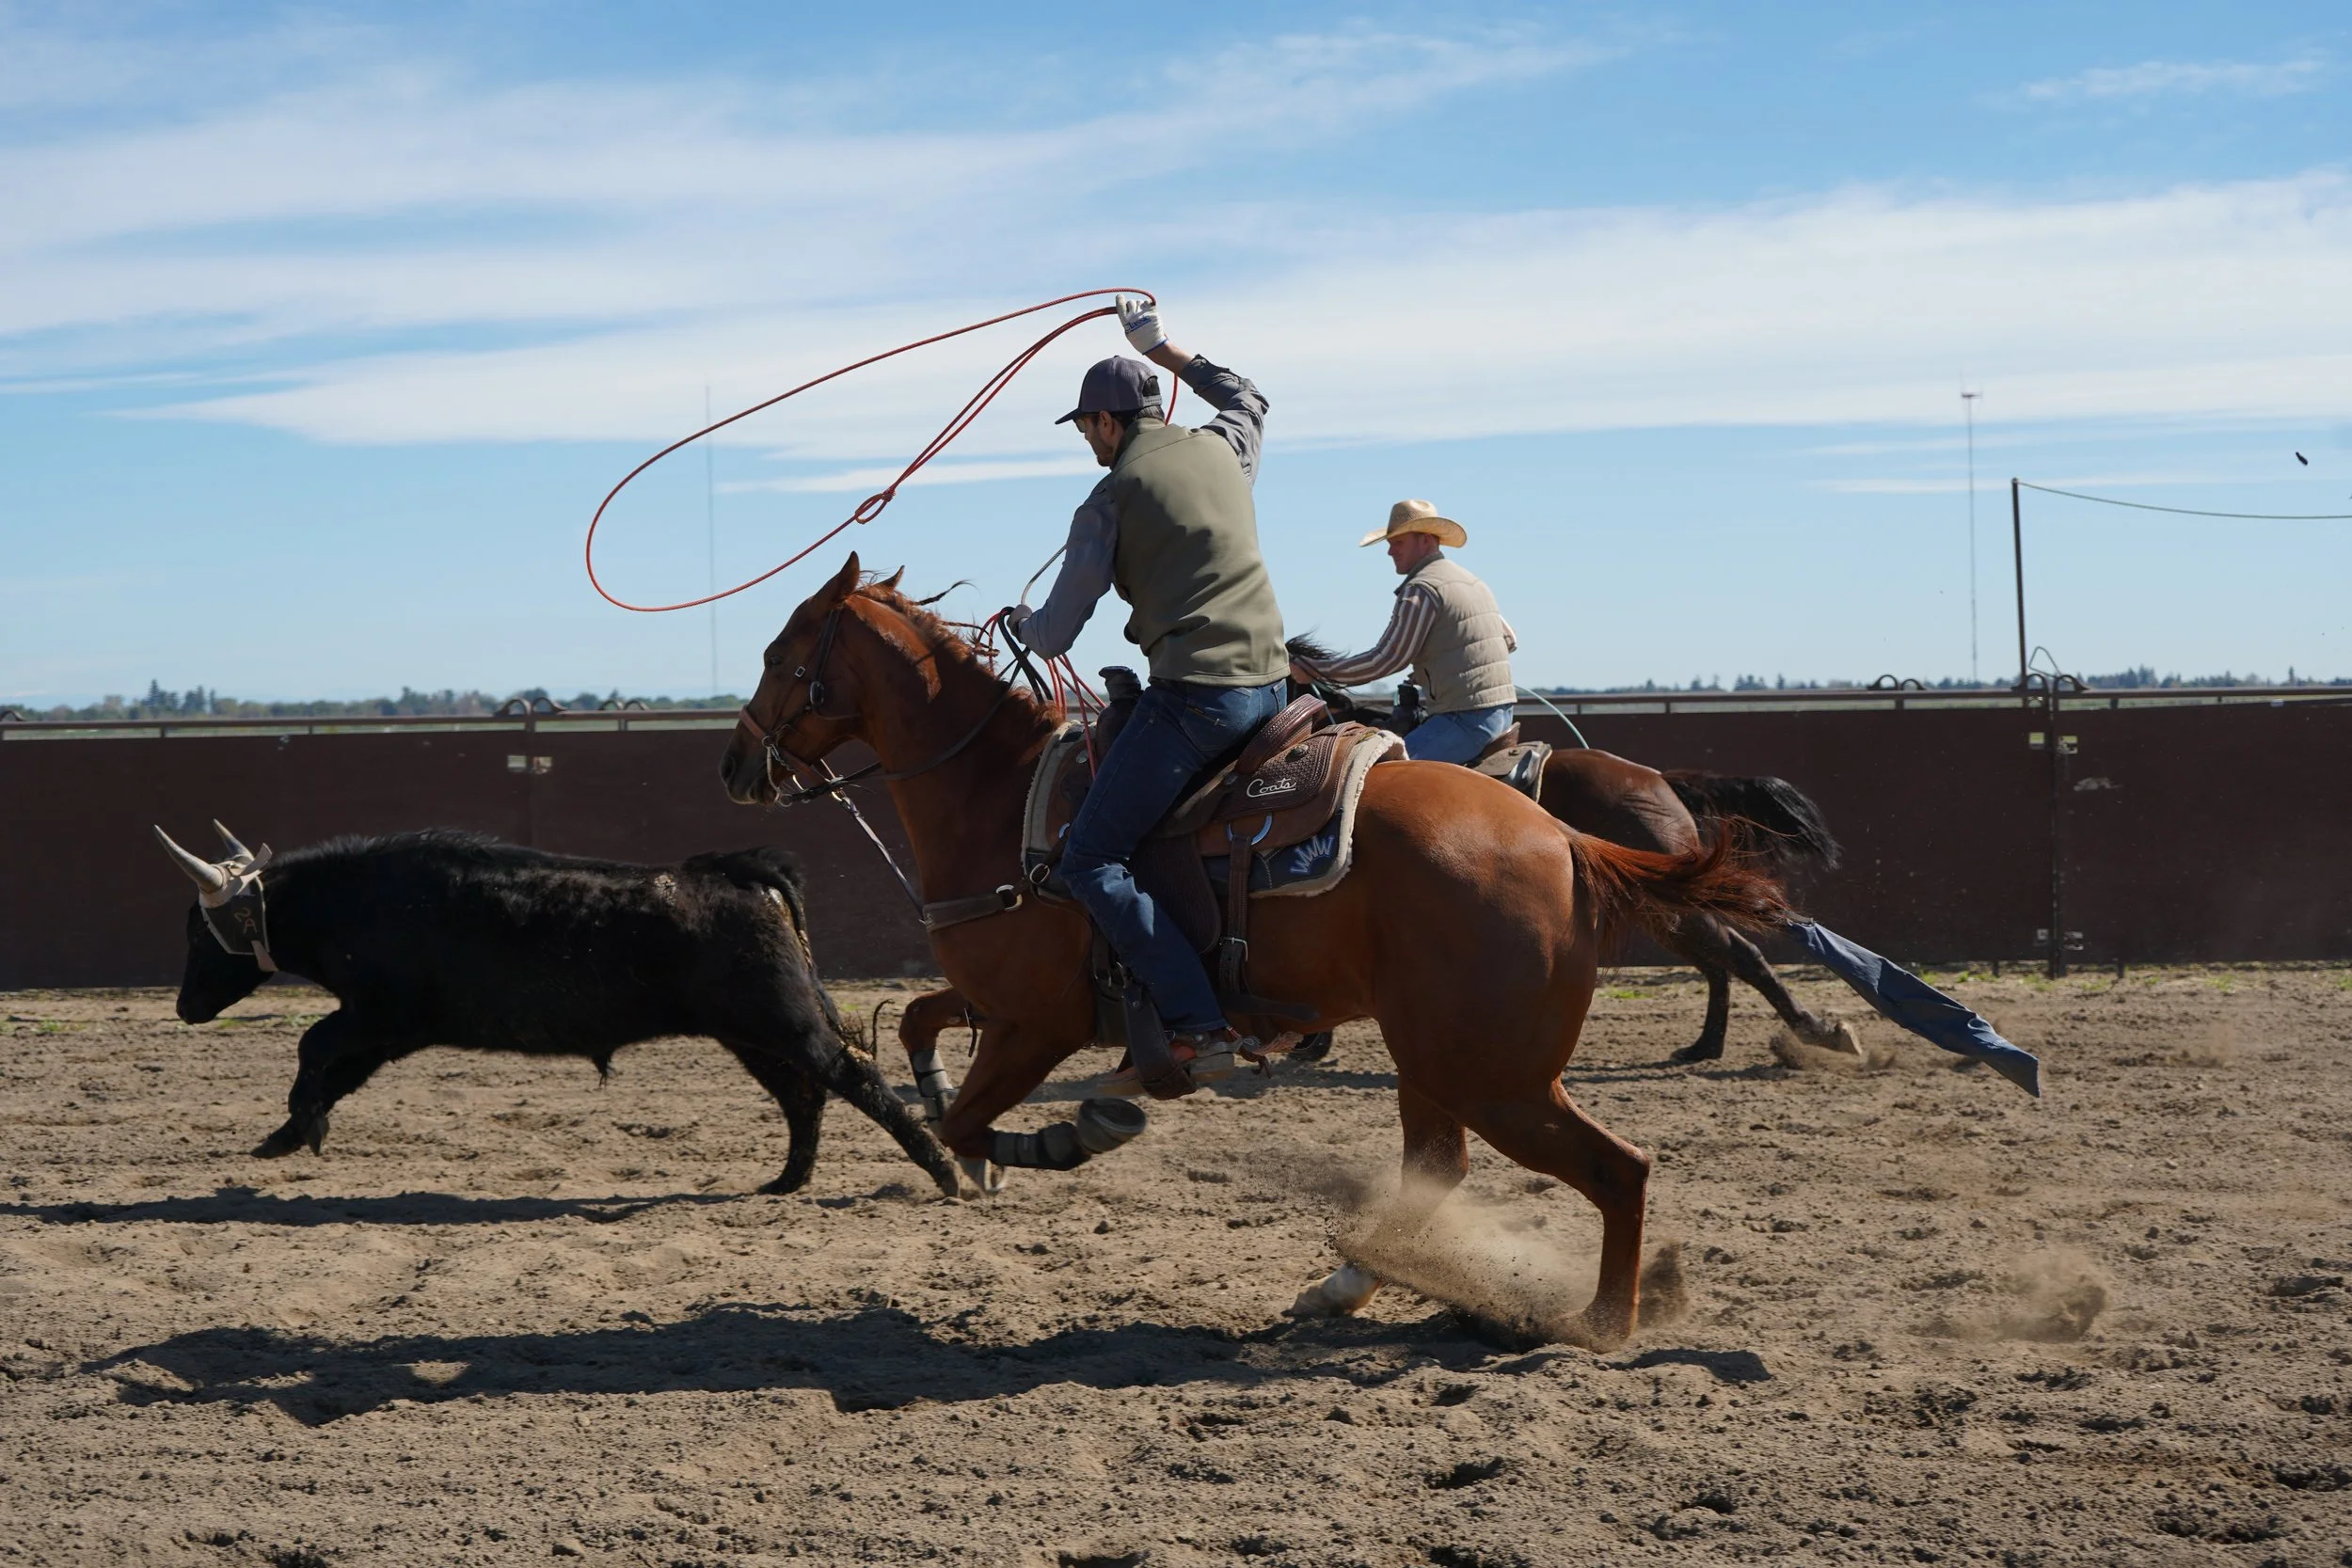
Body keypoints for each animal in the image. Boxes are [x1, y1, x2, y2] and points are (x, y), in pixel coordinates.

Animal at [153, 823, 959, 1198]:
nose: (185, 1006)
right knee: (805, 1095)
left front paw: (302, 1125)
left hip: (782, 1021)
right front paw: (288, 1133)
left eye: (198, 931)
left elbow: (313, 1048)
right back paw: (789, 1179)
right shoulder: (384, 1032)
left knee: (853, 1077)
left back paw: (947, 1171)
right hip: (752, 1033)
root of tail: (738, 870)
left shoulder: (376, 1014)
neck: (356, 899)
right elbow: (334, 1073)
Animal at [718, 555, 1793, 1346]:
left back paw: (1598, 1322)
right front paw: (966, 1125)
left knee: (1618, 1167)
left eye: (777, 650)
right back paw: (1346, 1283)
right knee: (1438, 1168)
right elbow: (918, 1024)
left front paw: (1070, 1133)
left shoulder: (1041, 1022)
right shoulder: (998, 998)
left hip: (1493, 1075)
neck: (1001, 796)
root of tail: (1561, 837)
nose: (734, 764)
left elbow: (974, 1120)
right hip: (1440, 1062)